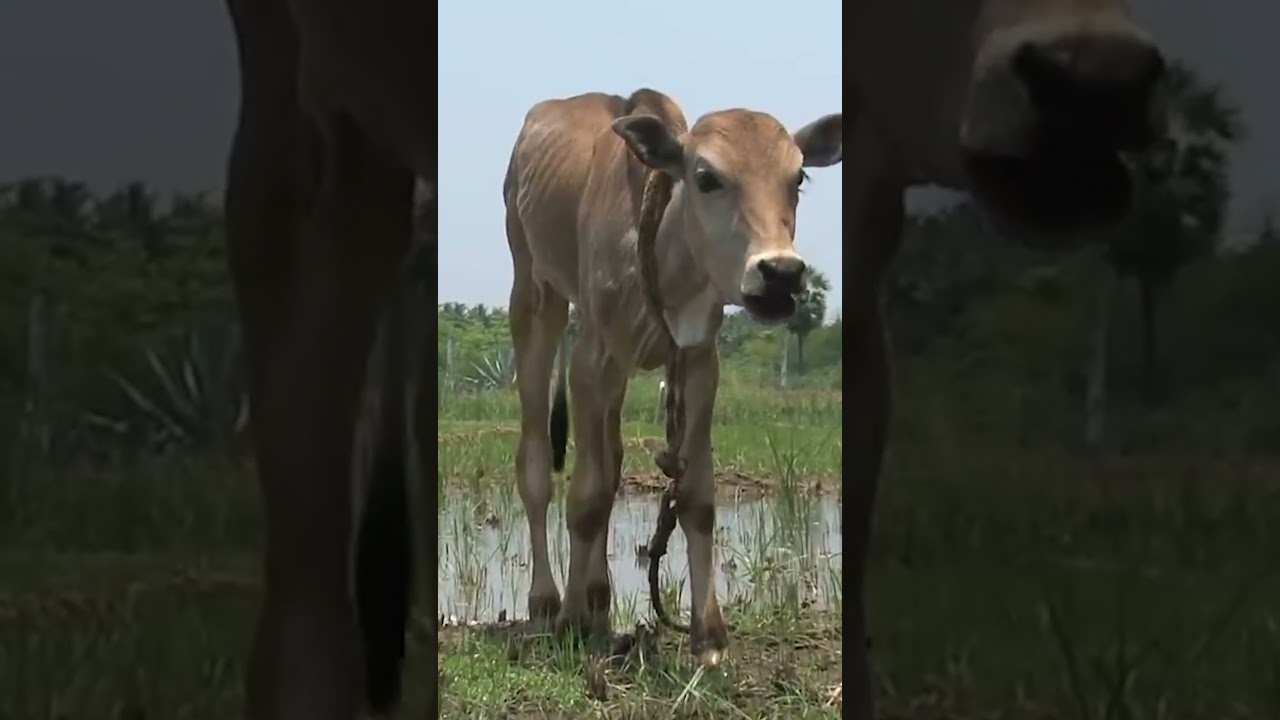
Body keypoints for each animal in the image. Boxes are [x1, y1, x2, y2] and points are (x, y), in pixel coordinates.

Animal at [220, 1, 1168, 719]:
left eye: (798, 178)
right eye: (707, 176)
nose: (779, 274)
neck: (669, 254)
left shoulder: (698, 359)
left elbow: (697, 493)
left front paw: (706, 637)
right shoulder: (595, 351)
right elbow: (590, 490)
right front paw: (587, 626)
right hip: (536, 300)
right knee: (540, 467)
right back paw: (552, 602)